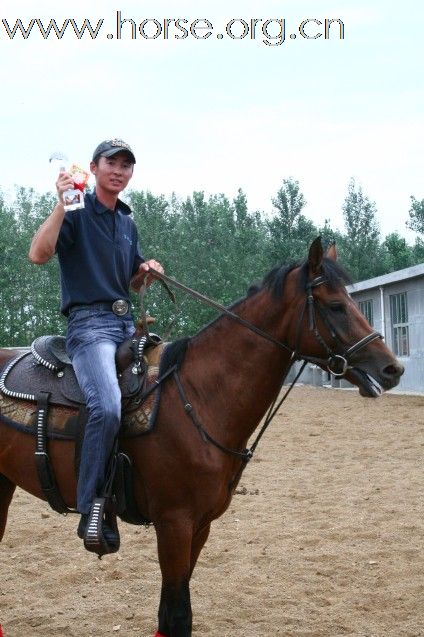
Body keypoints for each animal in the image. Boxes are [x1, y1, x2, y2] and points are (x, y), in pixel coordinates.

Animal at [0, 240, 402, 636]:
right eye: (335, 306)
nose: (391, 368)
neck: (198, 397)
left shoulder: (200, 526)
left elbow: (168, 614)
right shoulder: (174, 523)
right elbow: (179, 615)